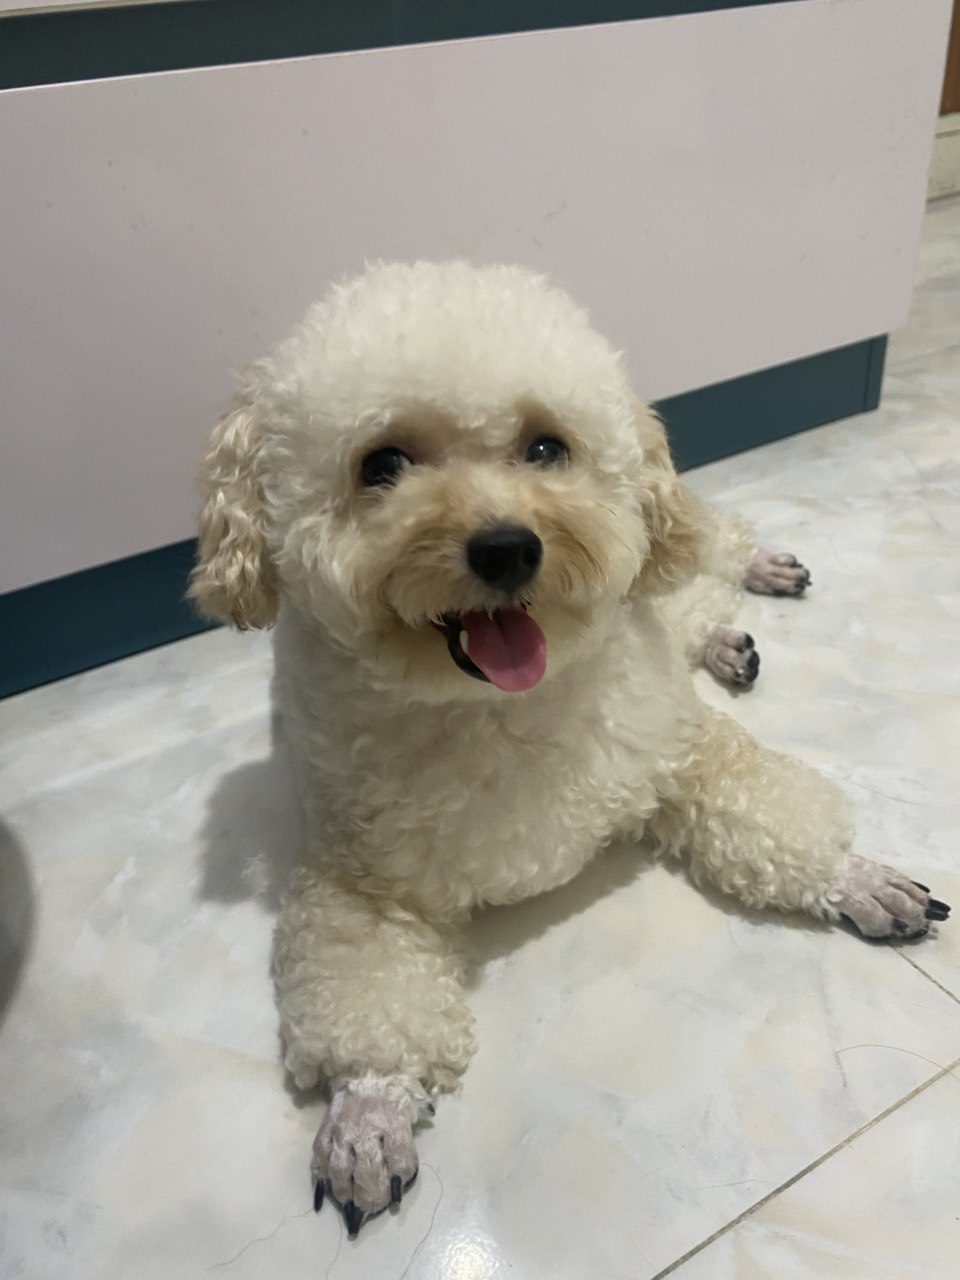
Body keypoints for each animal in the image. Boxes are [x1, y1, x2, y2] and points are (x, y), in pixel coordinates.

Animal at [190, 261, 949, 1235]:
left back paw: (762, 568)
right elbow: (368, 1001)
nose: (508, 548)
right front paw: (368, 1114)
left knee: (712, 548)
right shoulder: (358, 880)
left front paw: (852, 878)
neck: (498, 706)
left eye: (546, 446)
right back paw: (726, 643)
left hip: (676, 544)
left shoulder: (678, 744)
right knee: (698, 607)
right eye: (382, 465)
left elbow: (771, 809)